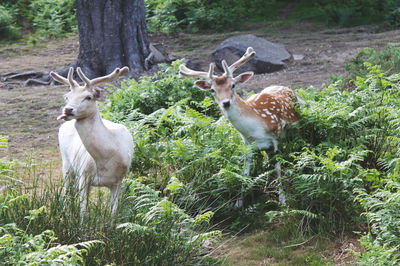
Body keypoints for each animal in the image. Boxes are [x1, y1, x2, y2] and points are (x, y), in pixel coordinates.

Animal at [50, 66, 134, 224]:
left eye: (88, 97)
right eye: (67, 97)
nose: (67, 109)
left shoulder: (118, 180)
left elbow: (113, 213)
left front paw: (110, 228)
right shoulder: (84, 175)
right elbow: (83, 211)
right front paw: (81, 228)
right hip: (66, 163)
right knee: (65, 192)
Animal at [179, 47, 304, 206]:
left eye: (233, 85)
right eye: (212, 90)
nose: (226, 103)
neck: (256, 129)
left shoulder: (276, 137)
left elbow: (278, 168)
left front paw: (283, 201)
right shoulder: (247, 144)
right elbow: (245, 172)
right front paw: (239, 202)